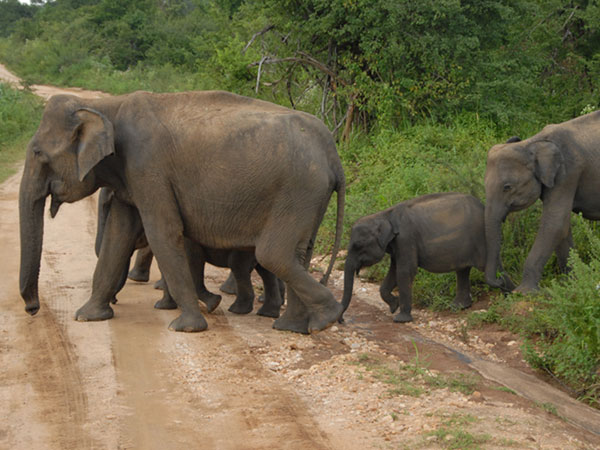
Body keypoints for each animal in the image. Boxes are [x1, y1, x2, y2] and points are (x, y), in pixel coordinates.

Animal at [18, 89, 344, 334]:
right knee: (297, 253)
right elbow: (118, 236)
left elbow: (163, 233)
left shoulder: (147, 167)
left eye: (38, 153)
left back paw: (325, 319)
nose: (32, 309)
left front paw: (187, 325)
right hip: (309, 196)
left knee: (273, 254)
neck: (105, 106)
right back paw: (293, 328)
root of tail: (333, 152)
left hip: (299, 190)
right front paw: (87, 316)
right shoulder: (132, 176)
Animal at [340, 193, 512, 324]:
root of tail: (483, 207)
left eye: (358, 245)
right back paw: (459, 307)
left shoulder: (406, 239)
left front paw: (400, 319)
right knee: (462, 270)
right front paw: (394, 306)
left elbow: (405, 271)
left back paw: (511, 297)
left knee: (489, 266)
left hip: (480, 238)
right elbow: (394, 272)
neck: (384, 214)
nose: (342, 321)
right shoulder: (397, 245)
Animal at [480, 112, 600, 294]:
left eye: (507, 187)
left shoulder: (568, 173)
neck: (532, 143)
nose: (501, 280)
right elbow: (562, 226)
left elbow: (554, 224)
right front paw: (571, 283)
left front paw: (523, 292)